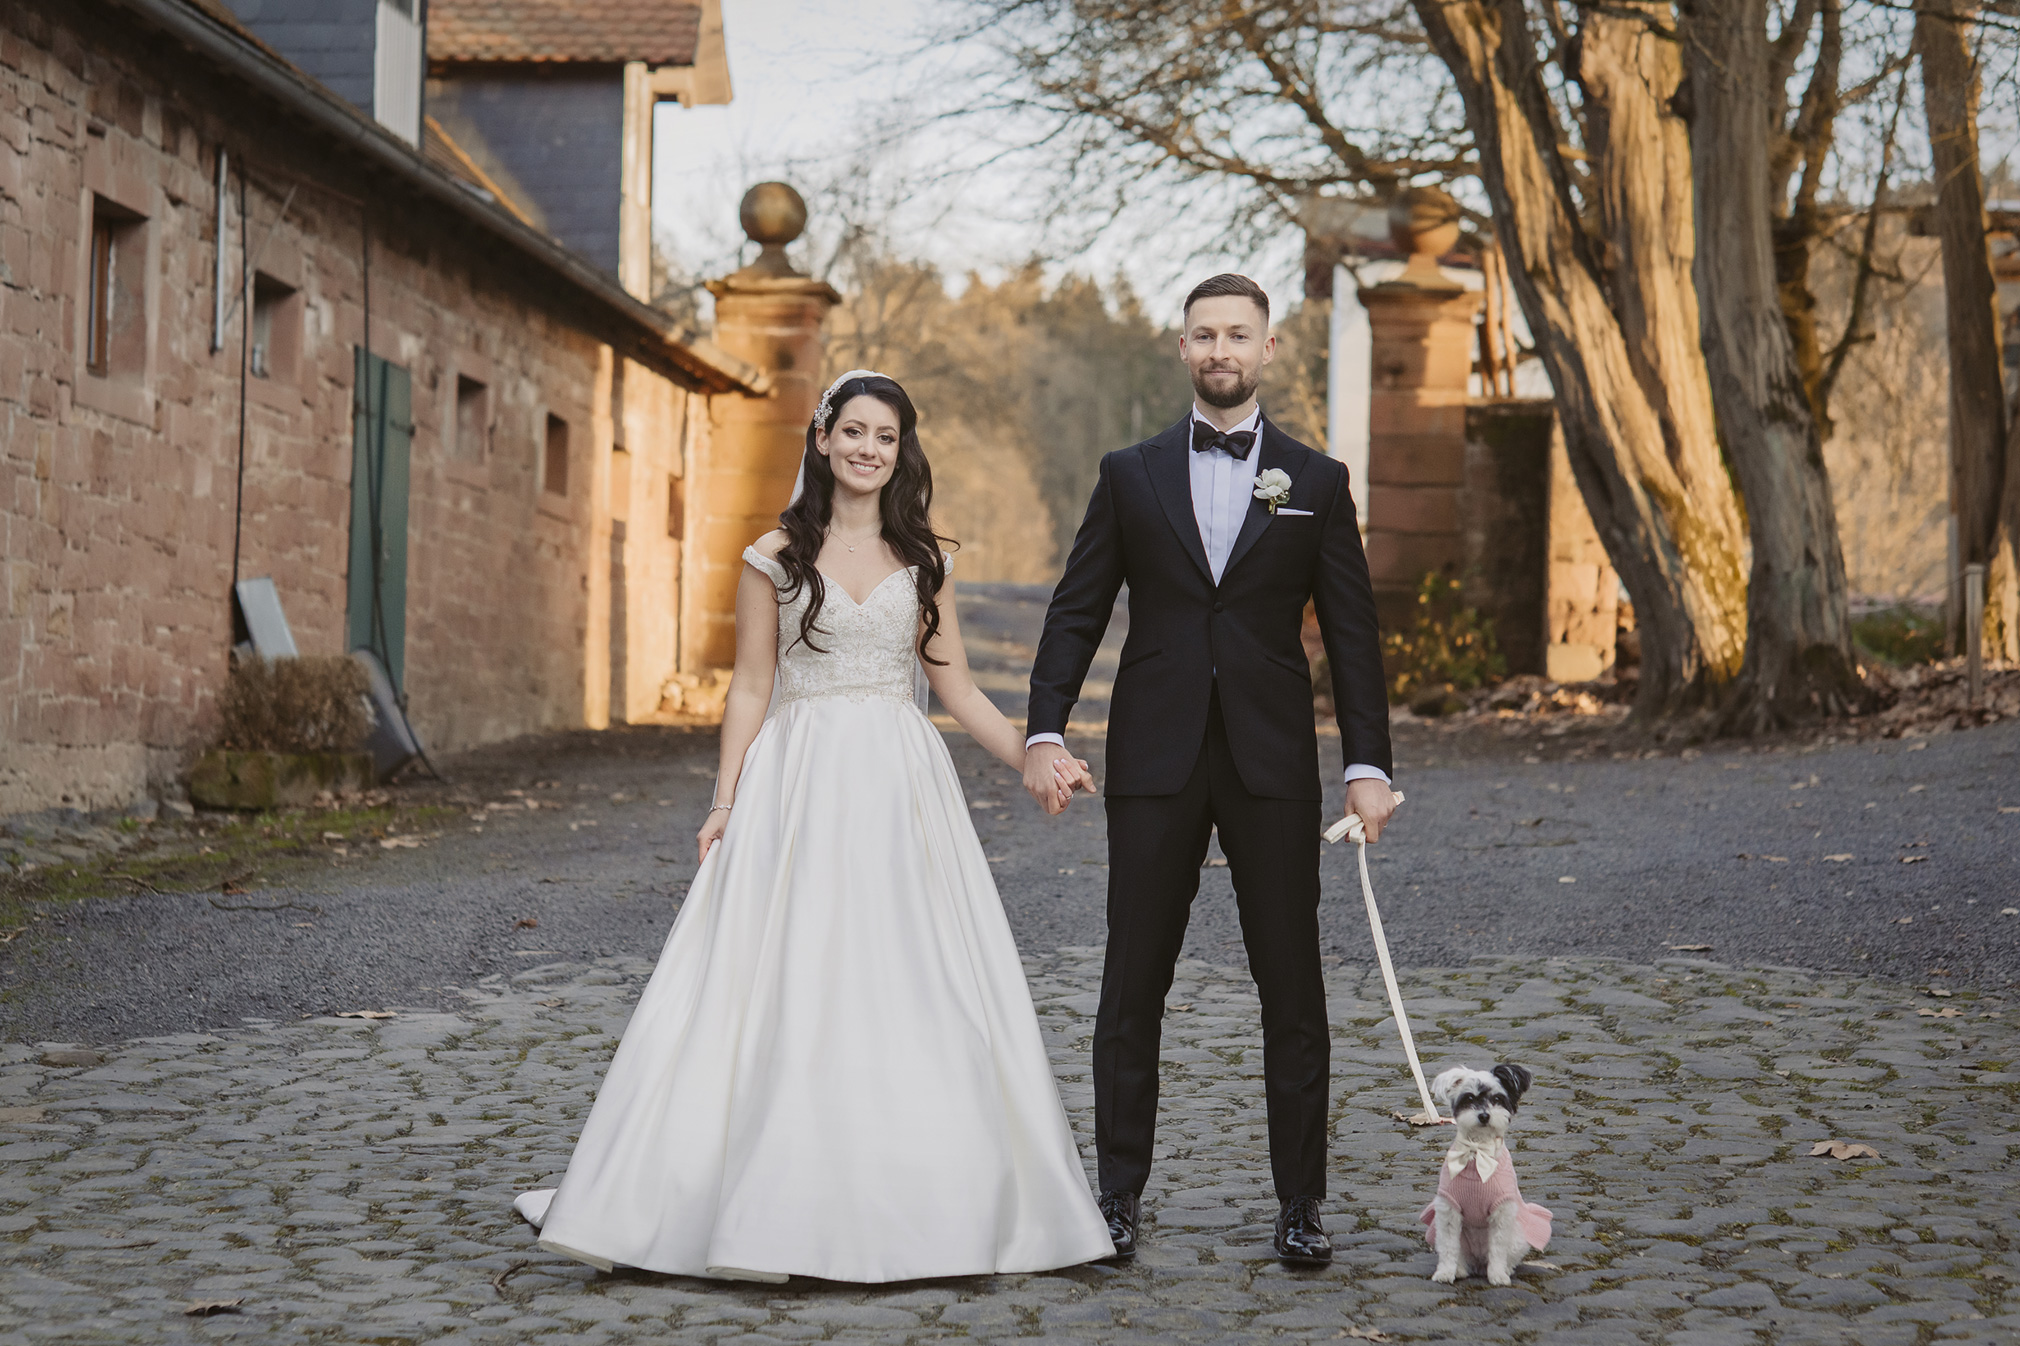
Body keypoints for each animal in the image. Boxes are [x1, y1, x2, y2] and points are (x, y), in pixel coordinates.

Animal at [1414, 1059, 1551, 1277]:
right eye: (1469, 1098)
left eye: (1497, 1099)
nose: (1484, 1116)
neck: (1477, 1151)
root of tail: (1478, 1263)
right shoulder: (1449, 1211)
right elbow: (1449, 1247)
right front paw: (1445, 1273)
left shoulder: (1501, 1213)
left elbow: (1498, 1248)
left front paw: (1497, 1276)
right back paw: (1459, 1270)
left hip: (1517, 1238)